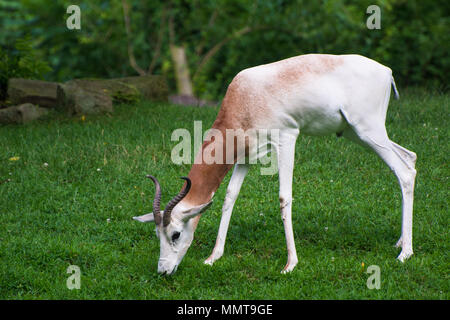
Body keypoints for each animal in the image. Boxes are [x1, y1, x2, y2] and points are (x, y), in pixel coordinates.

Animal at [134, 53, 418, 274]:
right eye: (157, 235)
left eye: (175, 234)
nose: (163, 271)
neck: (246, 98)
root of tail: (386, 71)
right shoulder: (245, 157)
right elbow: (230, 197)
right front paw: (213, 257)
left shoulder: (287, 139)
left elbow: (284, 197)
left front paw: (290, 264)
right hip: (355, 133)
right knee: (410, 158)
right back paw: (400, 242)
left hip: (368, 130)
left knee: (404, 171)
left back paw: (405, 254)